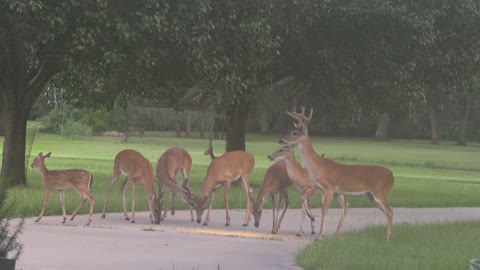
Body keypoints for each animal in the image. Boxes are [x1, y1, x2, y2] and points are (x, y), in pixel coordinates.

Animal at [282, 107, 394, 240]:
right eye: (290, 131)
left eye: (294, 133)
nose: (281, 139)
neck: (318, 165)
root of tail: (392, 176)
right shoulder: (324, 190)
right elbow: (309, 201)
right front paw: (317, 226)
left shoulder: (329, 187)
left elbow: (324, 209)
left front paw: (320, 235)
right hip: (371, 196)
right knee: (386, 211)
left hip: (380, 193)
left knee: (390, 211)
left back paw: (388, 239)